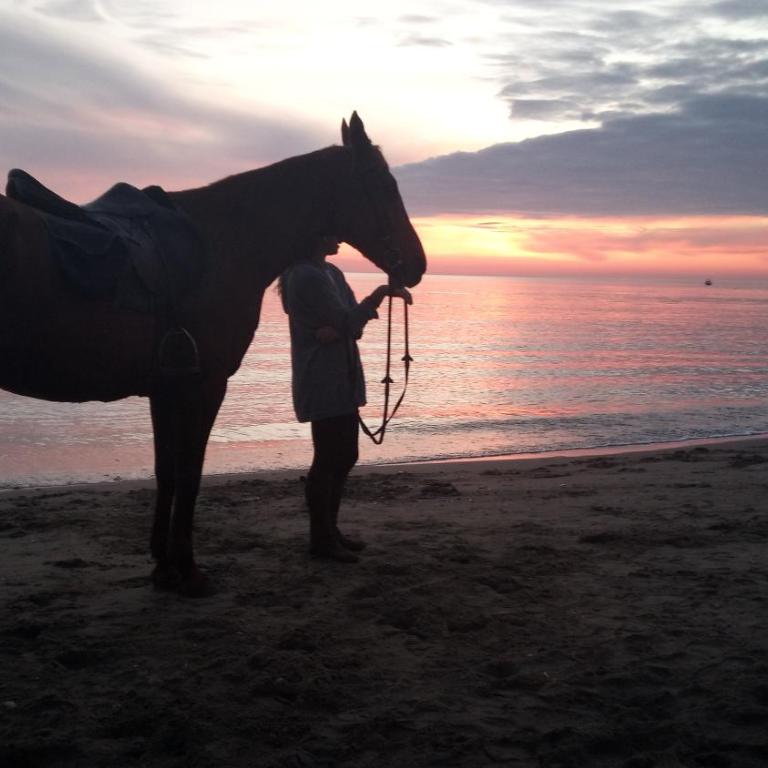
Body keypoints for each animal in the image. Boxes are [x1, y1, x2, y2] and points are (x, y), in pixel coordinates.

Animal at [0, 112, 427, 595]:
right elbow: (190, 473)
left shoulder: (167, 387)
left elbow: (167, 472)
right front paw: (187, 570)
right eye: (384, 184)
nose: (418, 264)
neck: (225, 242)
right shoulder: (204, 386)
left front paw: (164, 566)